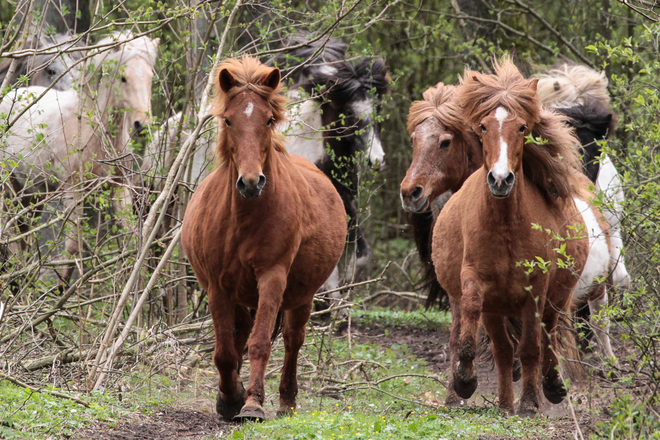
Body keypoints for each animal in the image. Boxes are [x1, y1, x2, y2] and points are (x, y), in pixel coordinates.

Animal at [1, 31, 159, 286]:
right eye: (123, 78)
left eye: (150, 77)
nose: (142, 126)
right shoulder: (73, 191)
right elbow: (73, 247)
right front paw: (61, 291)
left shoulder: (119, 188)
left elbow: (133, 238)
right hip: (10, 188)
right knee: (12, 236)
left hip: (33, 193)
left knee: (24, 234)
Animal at [180, 56, 346, 422]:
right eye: (228, 119)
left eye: (268, 119)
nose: (251, 182)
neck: (243, 219)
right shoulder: (217, 285)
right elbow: (225, 351)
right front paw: (229, 398)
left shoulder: (272, 276)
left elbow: (259, 343)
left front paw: (252, 402)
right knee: (240, 333)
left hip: (301, 295)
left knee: (292, 340)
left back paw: (286, 400)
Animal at [434, 59, 588, 416]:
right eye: (482, 127)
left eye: (521, 128)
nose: (500, 179)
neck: (505, 226)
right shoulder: (475, 280)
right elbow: (476, 330)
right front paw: (465, 380)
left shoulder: (536, 289)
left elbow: (531, 347)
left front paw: (530, 402)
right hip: (496, 308)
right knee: (504, 349)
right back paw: (504, 403)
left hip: (555, 299)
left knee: (548, 337)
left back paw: (552, 386)